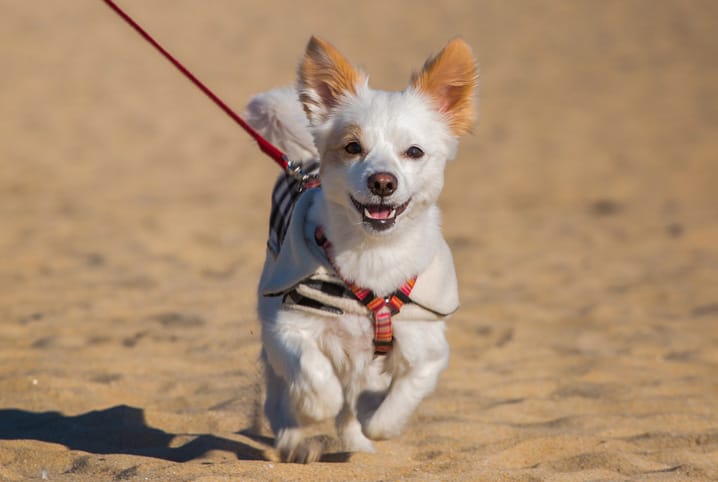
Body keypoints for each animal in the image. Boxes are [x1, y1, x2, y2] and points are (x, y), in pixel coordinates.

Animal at [248, 36, 478, 464]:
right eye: (353, 147)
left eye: (414, 152)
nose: (383, 182)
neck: (373, 255)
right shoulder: (286, 326)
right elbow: (315, 377)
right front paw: (314, 404)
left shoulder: (428, 348)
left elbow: (392, 405)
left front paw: (375, 418)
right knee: (280, 398)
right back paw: (295, 440)